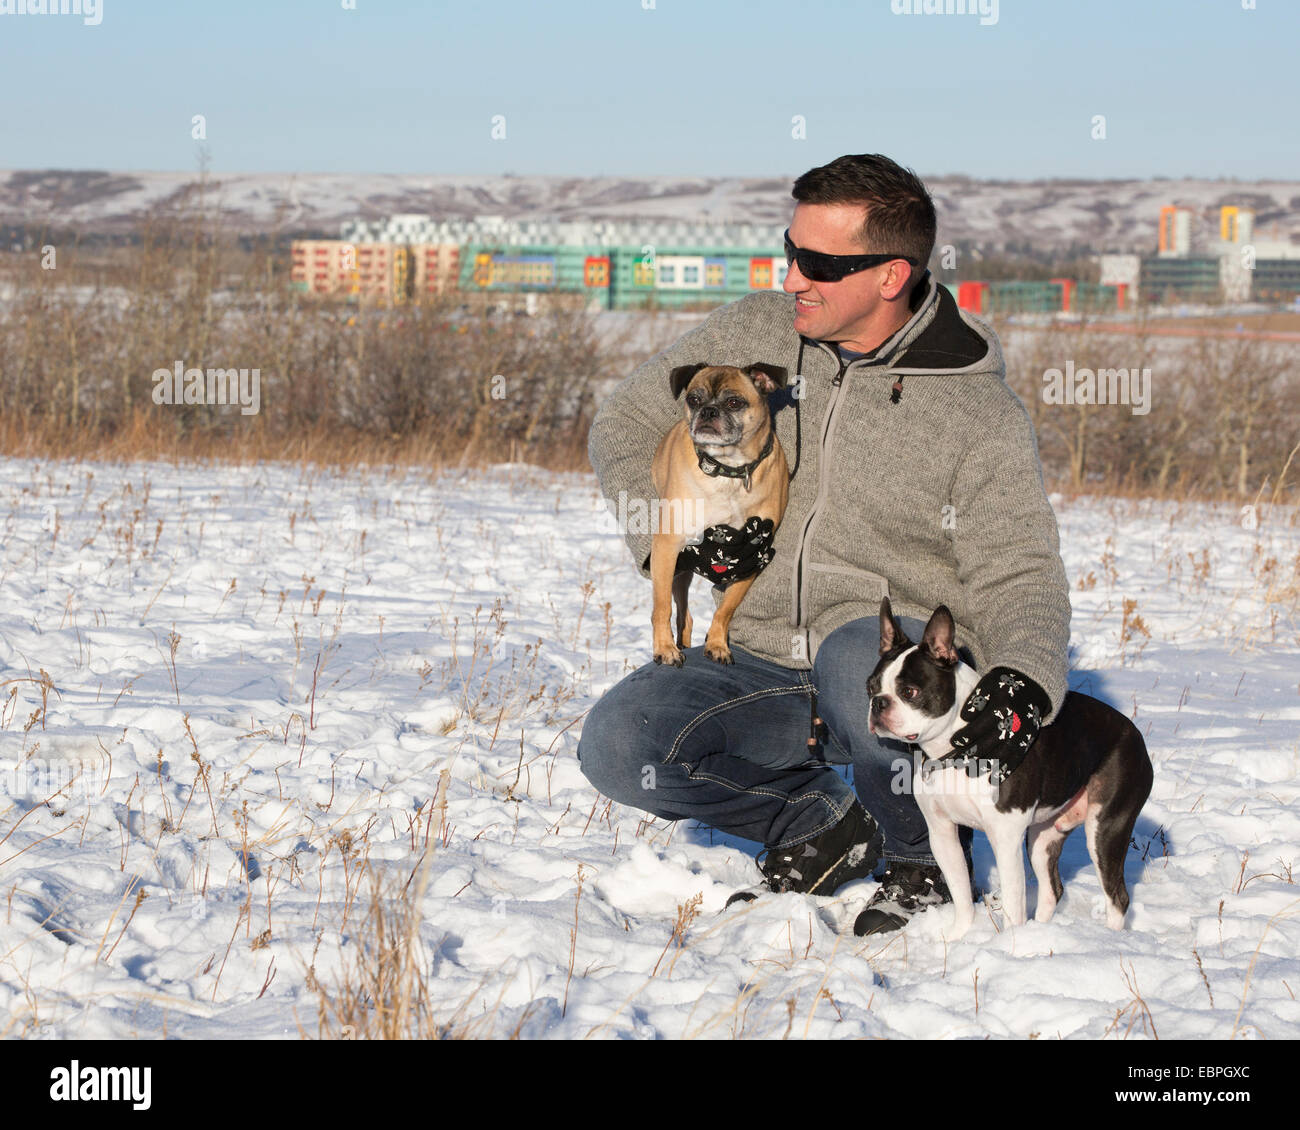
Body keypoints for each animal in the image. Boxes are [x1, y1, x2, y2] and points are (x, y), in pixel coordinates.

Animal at [655, 361, 785, 665]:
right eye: (693, 399)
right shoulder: (667, 547)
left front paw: (717, 644)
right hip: (677, 567)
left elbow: (724, 611)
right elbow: (662, 607)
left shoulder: (751, 559)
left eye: (734, 402)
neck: (729, 470)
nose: (708, 411)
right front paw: (664, 648)